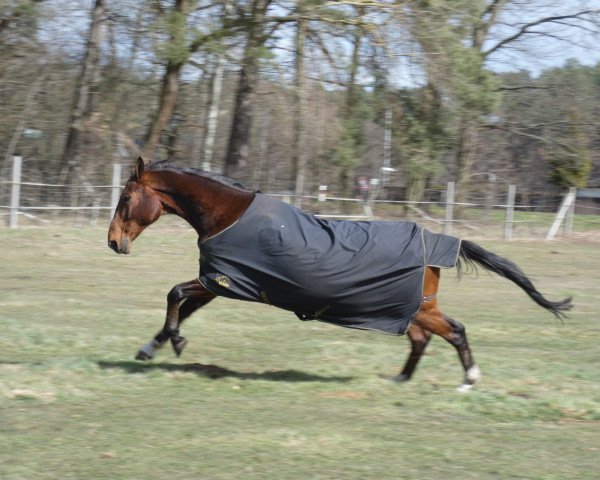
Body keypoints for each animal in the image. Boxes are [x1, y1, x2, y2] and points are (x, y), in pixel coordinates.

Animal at [106, 158, 572, 390]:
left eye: (126, 197)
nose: (112, 242)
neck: (230, 216)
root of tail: (436, 240)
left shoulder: (227, 282)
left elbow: (174, 295)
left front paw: (174, 343)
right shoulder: (220, 281)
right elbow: (181, 305)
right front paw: (153, 347)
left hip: (419, 307)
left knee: (454, 330)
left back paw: (469, 379)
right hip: (407, 309)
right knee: (423, 339)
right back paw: (401, 379)